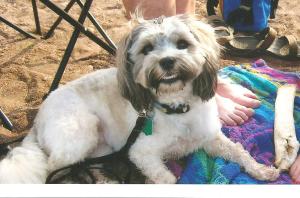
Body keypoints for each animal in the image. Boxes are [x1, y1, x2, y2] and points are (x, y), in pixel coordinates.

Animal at [0, 14, 278, 183]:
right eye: (147, 49)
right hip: (82, 130)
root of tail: (38, 117)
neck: (179, 108)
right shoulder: (142, 154)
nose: (167, 61)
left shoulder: (210, 138)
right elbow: (168, 178)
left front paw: (261, 170)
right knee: (55, 167)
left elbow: (239, 152)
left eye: (182, 44)